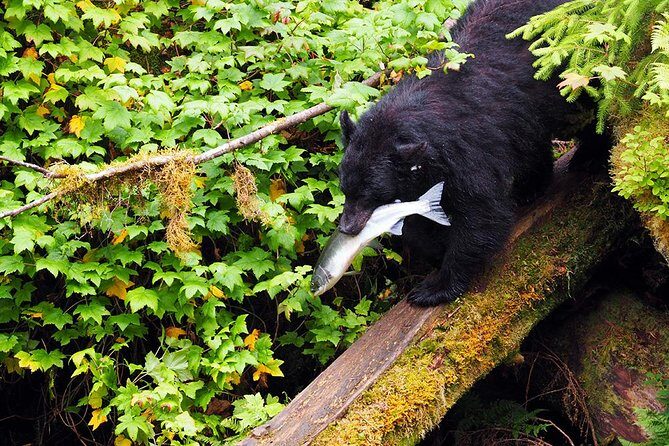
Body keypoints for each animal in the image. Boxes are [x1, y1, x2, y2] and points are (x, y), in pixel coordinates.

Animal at [337, 0, 593, 306]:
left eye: (371, 195)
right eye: (344, 189)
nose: (347, 227)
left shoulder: (465, 149)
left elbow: (481, 214)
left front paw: (434, 287)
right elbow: (420, 220)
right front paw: (435, 250)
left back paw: (587, 158)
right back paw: (531, 187)